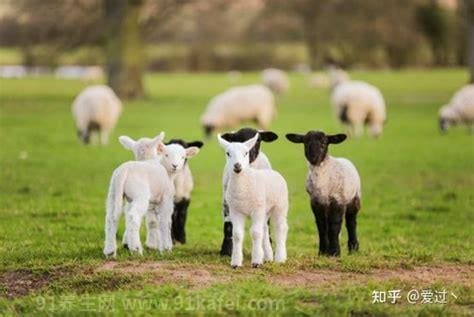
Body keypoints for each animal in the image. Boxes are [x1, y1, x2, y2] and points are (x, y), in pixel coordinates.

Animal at [217, 131, 286, 266]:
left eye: (246, 153)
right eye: (228, 153)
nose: (237, 166)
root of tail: (275, 172)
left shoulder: (256, 210)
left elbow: (255, 233)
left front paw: (256, 261)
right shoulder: (236, 211)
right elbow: (237, 234)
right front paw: (236, 262)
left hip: (280, 206)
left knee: (280, 228)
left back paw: (280, 258)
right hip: (264, 210)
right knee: (265, 229)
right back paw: (268, 256)